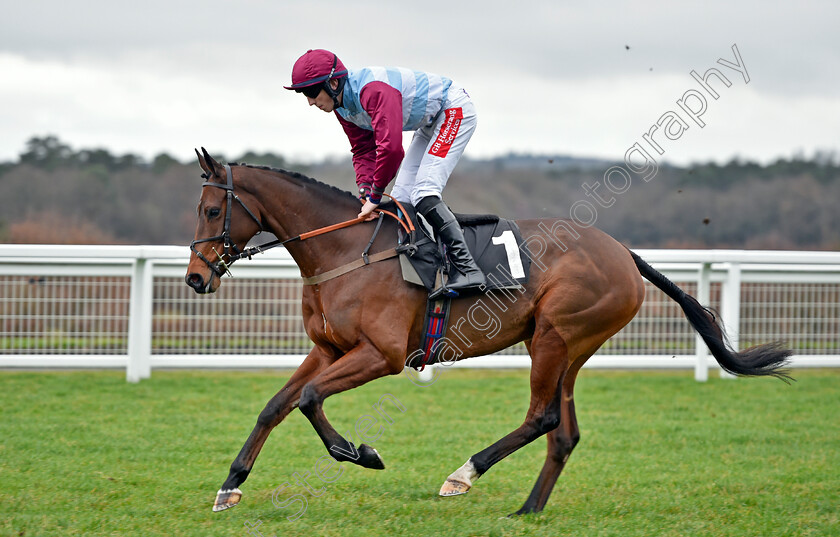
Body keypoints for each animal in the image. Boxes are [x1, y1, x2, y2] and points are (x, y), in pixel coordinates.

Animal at [185, 148, 796, 516]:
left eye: (213, 210)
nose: (194, 277)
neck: (344, 251)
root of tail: (623, 252)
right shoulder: (329, 348)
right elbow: (277, 404)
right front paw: (230, 485)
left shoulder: (381, 354)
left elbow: (310, 398)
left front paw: (361, 453)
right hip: (566, 348)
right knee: (563, 431)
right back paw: (528, 510)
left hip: (554, 337)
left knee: (541, 418)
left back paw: (464, 474)